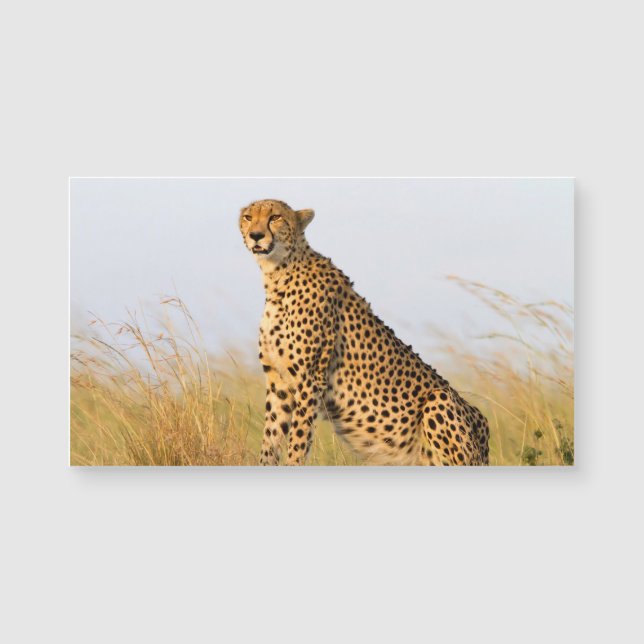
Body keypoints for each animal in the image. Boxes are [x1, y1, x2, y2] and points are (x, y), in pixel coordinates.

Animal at [239, 199, 490, 465]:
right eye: (248, 217)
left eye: (275, 217)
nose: (256, 235)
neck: (277, 275)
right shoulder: (279, 382)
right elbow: (270, 440)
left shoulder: (310, 381)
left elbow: (297, 443)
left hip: (439, 400)